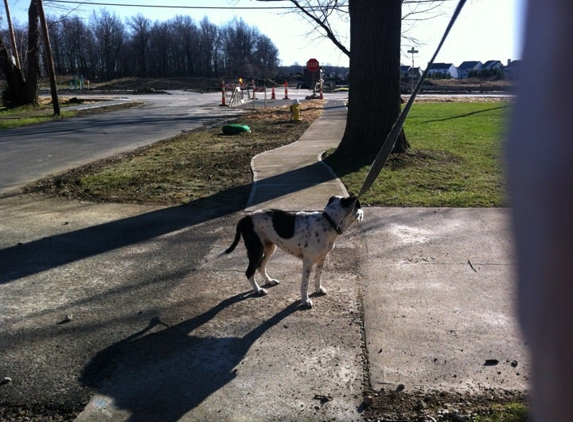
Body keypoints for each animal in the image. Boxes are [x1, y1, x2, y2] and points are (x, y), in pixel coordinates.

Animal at [219, 196, 362, 308]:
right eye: (358, 206)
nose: (362, 214)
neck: (328, 222)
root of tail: (244, 219)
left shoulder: (322, 259)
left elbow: (318, 276)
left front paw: (318, 289)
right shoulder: (307, 262)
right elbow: (304, 284)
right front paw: (305, 301)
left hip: (270, 248)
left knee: (260, 267)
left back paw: (269, 281)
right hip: (256, 250)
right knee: (249, 271)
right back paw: (258, 290)